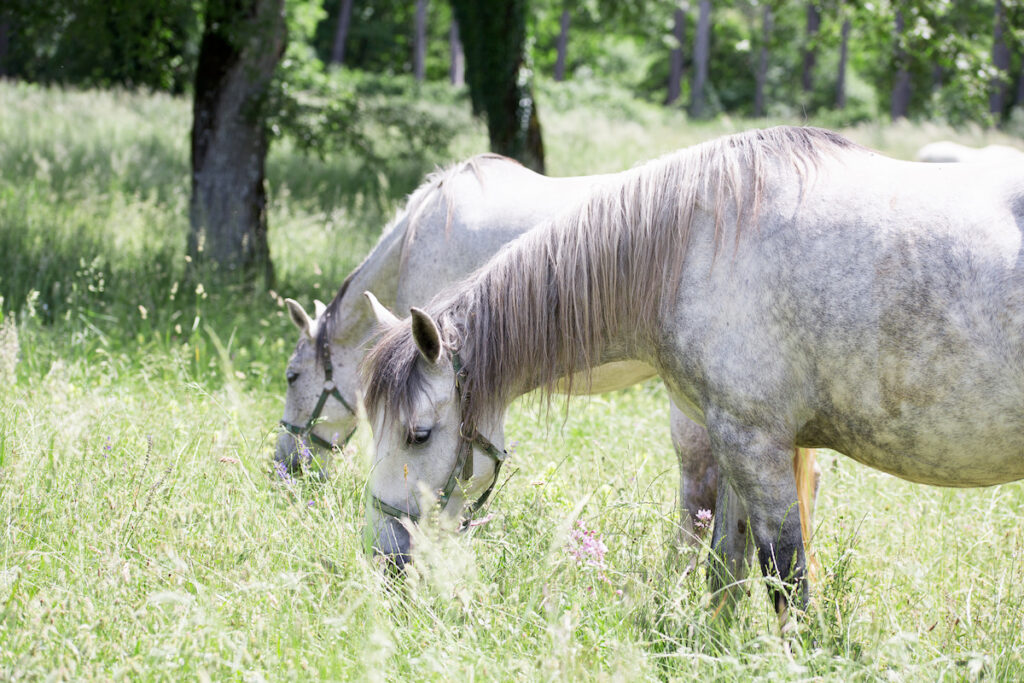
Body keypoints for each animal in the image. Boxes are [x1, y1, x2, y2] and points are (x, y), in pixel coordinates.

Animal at [364, 125, 1024, 626]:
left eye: (418, 434)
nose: (384, 559)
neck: (696, 249)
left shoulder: (755, 443)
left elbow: (785, 575)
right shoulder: (731, 441)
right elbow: (726, 567)